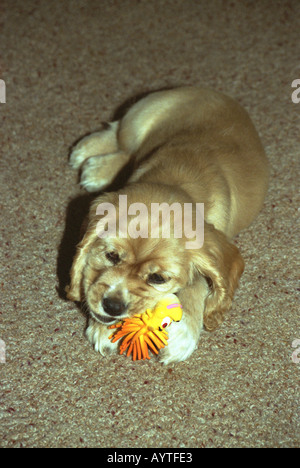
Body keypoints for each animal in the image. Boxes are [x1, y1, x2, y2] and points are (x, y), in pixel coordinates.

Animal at [66, 88, 270, 366]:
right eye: (111, 256)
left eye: (158, 279)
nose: (113, 307)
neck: (176, 177)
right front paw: (102, 327)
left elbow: (198, 283)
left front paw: (184, 332)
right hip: (139, 117)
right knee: (119, 134)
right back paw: (92, 159)